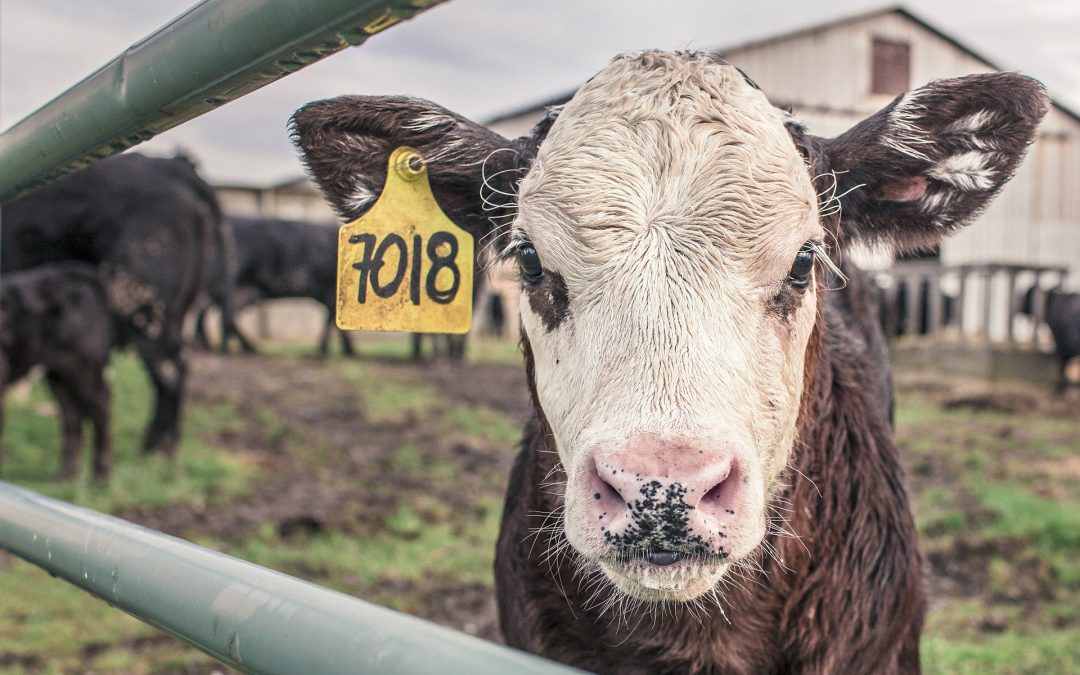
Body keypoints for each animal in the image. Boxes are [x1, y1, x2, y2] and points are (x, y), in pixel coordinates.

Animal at [0, 262, 113, 479]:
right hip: (58, 373)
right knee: (71, 414)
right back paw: (67, 475)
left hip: (85, 367)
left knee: (100, 405)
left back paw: (100, 476)